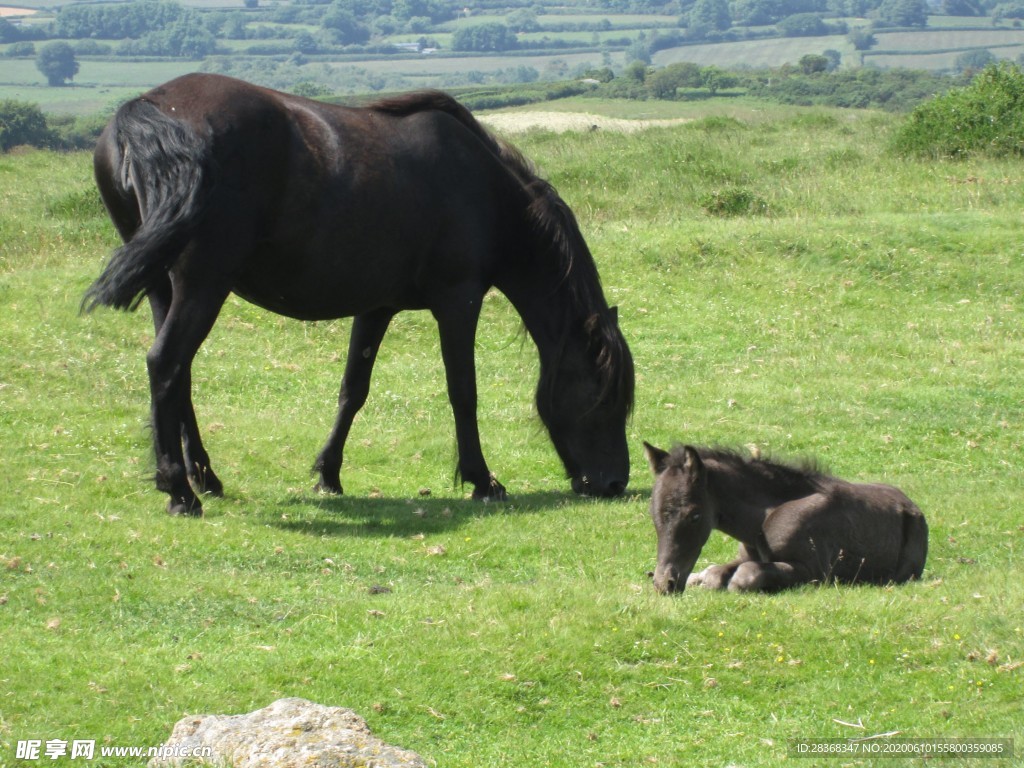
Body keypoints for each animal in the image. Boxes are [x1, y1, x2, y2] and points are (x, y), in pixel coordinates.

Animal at [83, 73, 635, 516]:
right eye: (604, 395)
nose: (614, 483)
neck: (484, 189)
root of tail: (150, 108)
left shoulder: (377, 307)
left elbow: (353, 390)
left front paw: (328, 473)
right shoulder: (458, 302)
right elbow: (463, 392)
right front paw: (482, 480)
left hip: (164, 287)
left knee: (178, 376)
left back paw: (204, 477)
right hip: (202, 283)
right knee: (166, 363)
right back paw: (180, 491)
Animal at [642, 443, 927, 594]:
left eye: (695, 515)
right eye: (652, 513)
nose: (665, 583)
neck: (758, 523)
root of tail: (913, 507)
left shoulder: (815, 571)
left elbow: (743, 577)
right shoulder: (745, 555)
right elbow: (716, 572)